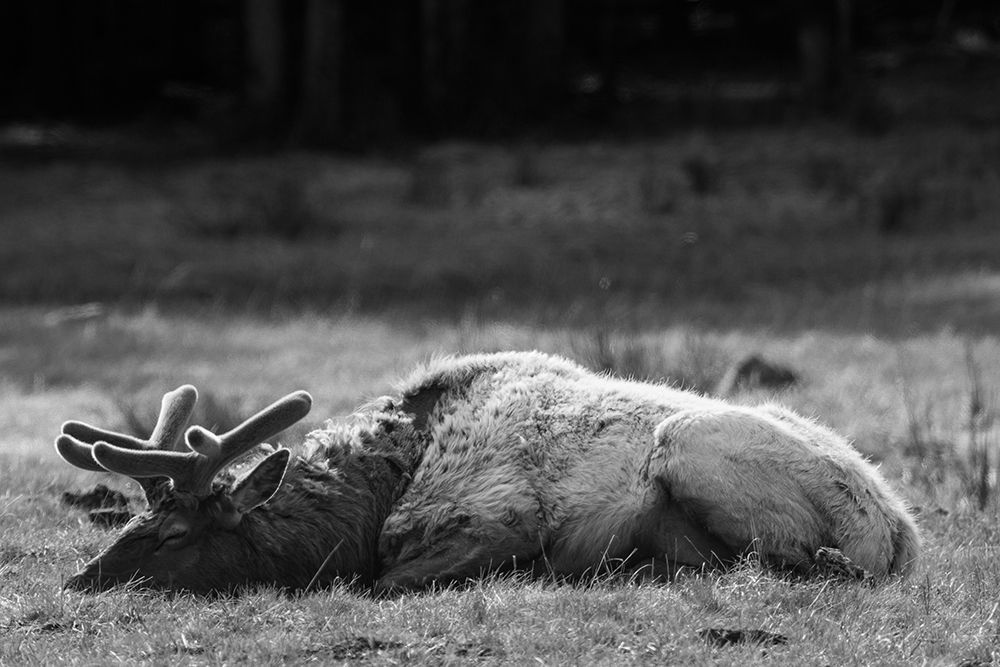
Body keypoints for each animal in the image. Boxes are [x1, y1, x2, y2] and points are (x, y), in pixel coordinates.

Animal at [54, 351, 920, 594]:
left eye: (171, 533)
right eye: (133, 517)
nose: (78, 580)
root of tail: (903, 531)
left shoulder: (502, 515)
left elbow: (377, 584)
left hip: (687, 443)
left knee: (800, 561)